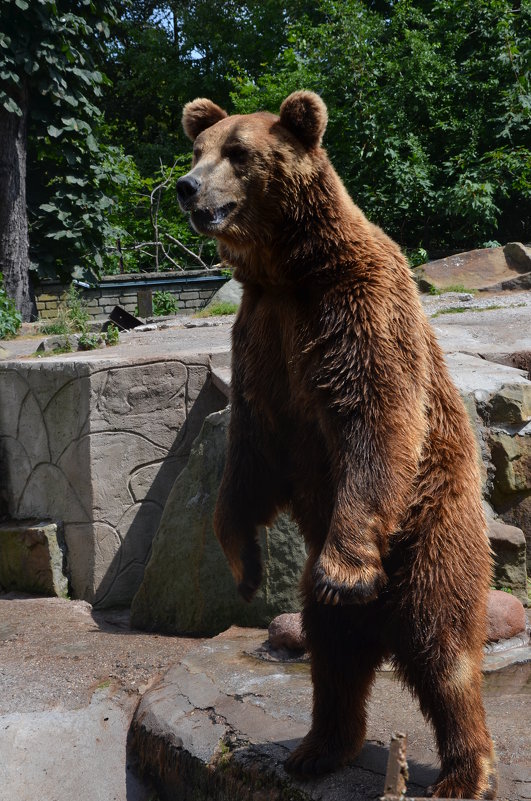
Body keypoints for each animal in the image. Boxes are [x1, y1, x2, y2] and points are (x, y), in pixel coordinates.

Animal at [180, 90, 498, 796]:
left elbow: (375, 420)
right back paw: (317, 748)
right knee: (333, 656)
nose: (187, 187)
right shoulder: (261, 336)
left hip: (431, 534)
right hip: (339, 618)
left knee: (444, 650)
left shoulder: (357, 308)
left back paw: (464, 771)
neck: (287, 267)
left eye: (238, 152)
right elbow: (249, 452)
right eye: (198, 148)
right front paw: (243, 567)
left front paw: (343, 570)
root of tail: (385, 622)